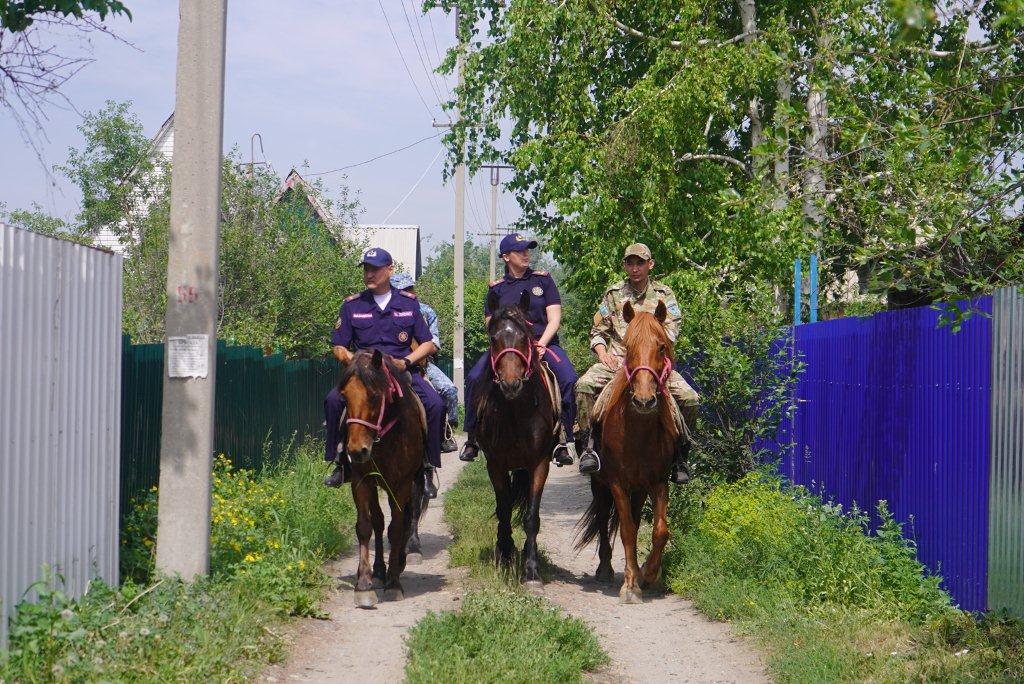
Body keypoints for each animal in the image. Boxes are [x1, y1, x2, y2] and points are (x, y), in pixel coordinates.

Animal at [335, 350, 428, 606]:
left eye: (375, 396)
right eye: (344, 397)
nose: (357, 451)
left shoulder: (402, 484)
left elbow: (396, 528)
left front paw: (394, 583)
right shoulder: (362, 480)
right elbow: (365, 526)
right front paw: (363, 585)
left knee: (409, 516)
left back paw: (402, 560)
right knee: (378, 520)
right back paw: (378, 571)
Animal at [471, 288, 561, 589]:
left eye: (525, 337)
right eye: (493, 338)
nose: (511, 384)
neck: (515, 411)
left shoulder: (538, 464)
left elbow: (531, 516)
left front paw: (531, 569)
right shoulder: (495, 464)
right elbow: (504, 508)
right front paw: (505, 552)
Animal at [577, 298, 679, 602]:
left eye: (661, 347)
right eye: (628, 347)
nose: (644, 400)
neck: (638, 433)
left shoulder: (658, 482)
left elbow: (660, 531)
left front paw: (649, 574)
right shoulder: (617, 483)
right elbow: (627, 531)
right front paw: (630, 585)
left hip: (639, 488)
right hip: (599, 484)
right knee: (602, 519)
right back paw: (605, 569)